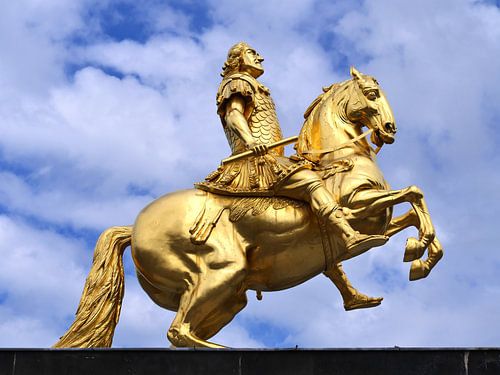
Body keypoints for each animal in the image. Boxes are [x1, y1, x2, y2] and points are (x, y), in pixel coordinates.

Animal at [54, 67, 444, 350]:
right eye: (373, 94)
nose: (390, 129)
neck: (340, 158)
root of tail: (134, 229)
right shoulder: (357, 207)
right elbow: (413, 193)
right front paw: (415, 251)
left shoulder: (380, 220)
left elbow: (415, 210)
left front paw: (419, 255)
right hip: (222, 273)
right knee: (178, 331)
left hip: (229, 297)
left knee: (184, 332)